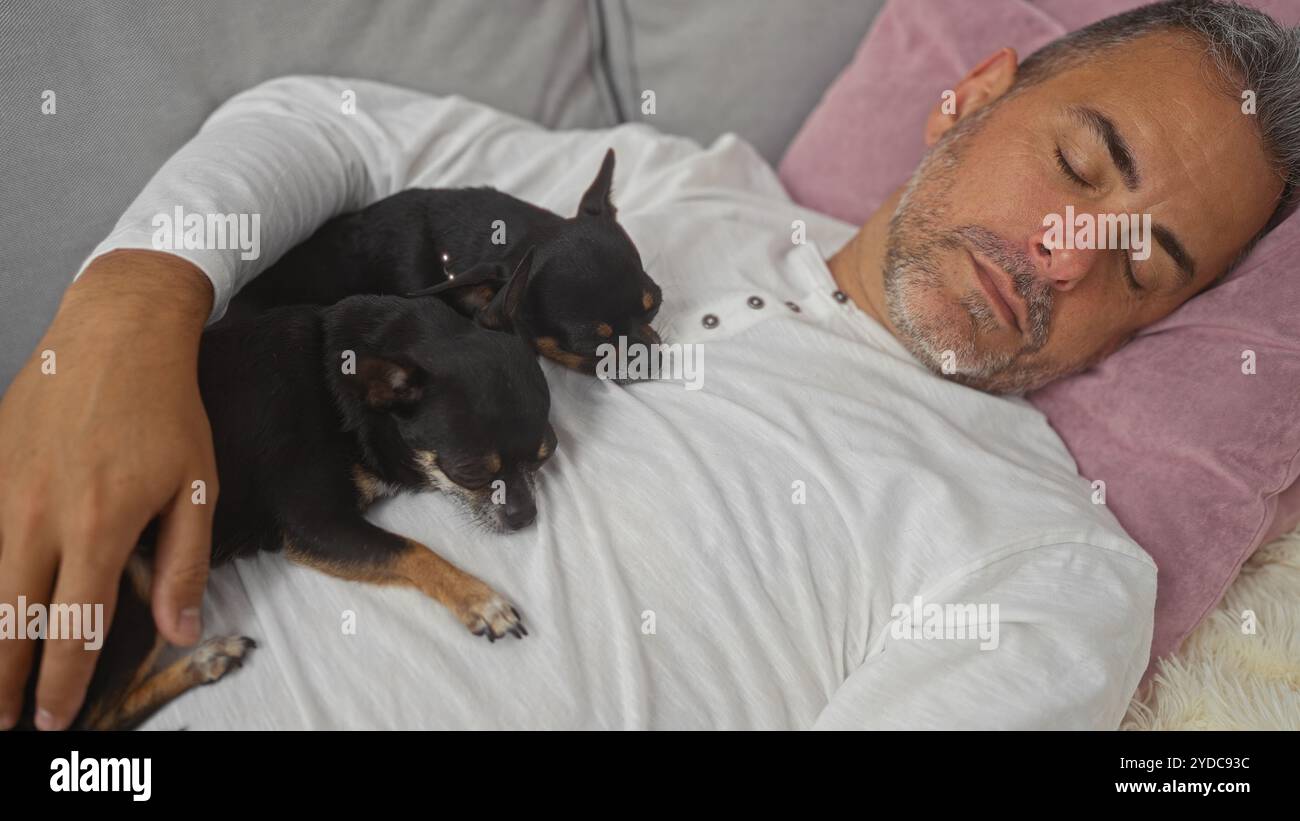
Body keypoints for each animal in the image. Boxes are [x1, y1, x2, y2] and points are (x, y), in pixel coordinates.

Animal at [19, 283, 553, 732]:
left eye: (547, 453)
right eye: (470, 473)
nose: (525, 516)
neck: (335, 379)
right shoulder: (315, 524)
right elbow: (414, 550)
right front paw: (479, 599)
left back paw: (207, 659)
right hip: (127, 585)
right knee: (92, 719)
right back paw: (203, 661)